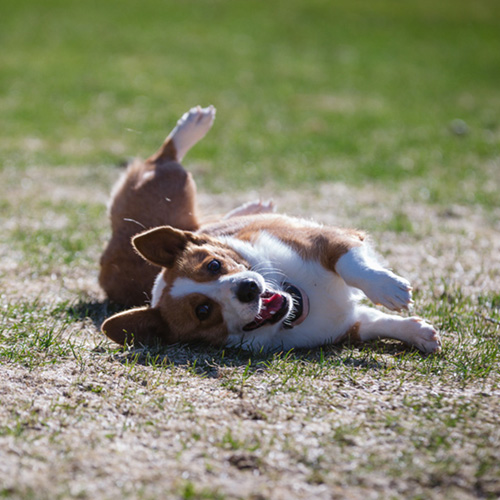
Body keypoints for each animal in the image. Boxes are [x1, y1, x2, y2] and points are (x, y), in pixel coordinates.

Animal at [98, 105, 442, 354]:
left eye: (214, 265)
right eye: (203, 310)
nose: (248, 288)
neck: (300, 298)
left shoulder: (327, 238)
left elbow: (354, 266)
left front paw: (390, 291)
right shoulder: (347, 325)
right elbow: (375, 322)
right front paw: (418, 332)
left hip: (176, 197)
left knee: (167, 157)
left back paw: (193, 126)